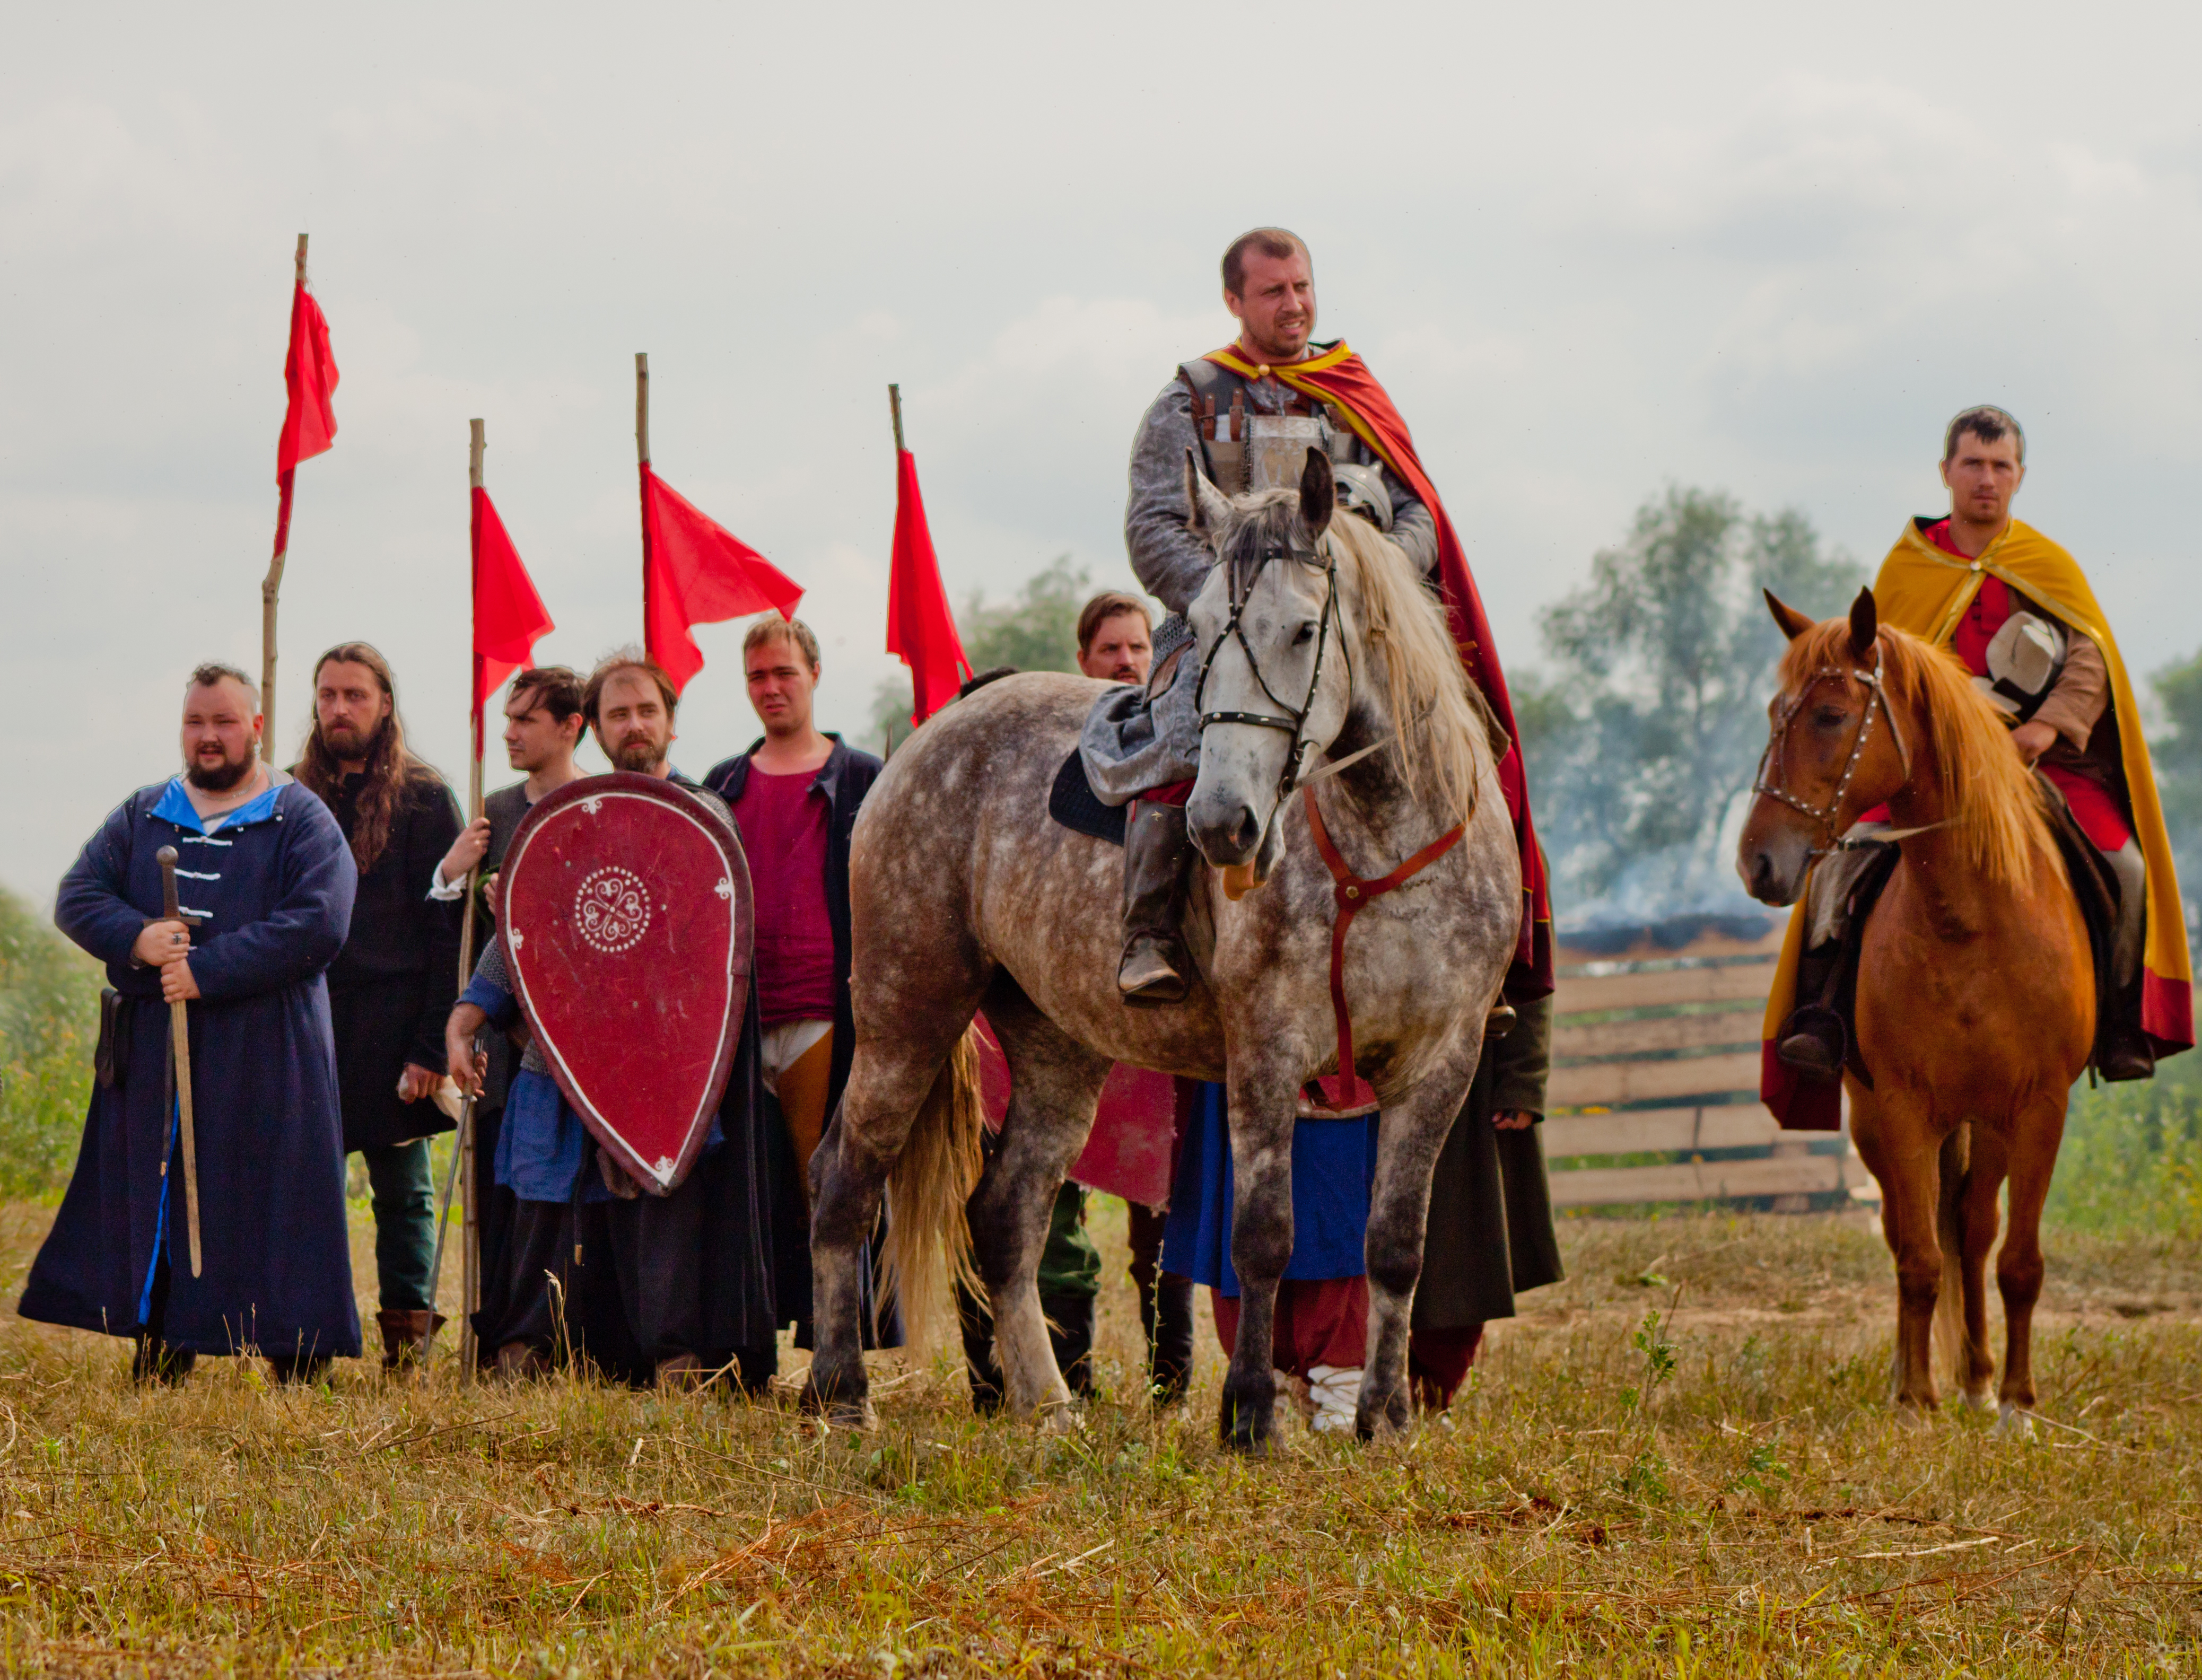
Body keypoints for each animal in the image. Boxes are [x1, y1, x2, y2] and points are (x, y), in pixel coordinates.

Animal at [801, 453, 1524, 1453]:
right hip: (908, 1007)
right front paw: (1251, 1413)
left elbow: (1394, 1245)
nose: (1221, 825)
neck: (1383, 844)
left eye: (1305, 628)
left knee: (1006, 1214)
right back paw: (841, 1393)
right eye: (1209, 630)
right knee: (847, 1175)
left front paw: (1385, 1420)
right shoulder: (1267, 1055)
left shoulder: (1438, 1066)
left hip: (1057, 1046)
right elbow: (1264, 1235)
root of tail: (929, 740)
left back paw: (1049, 1403)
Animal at [1735, 585, 2078, 1427]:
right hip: (1880, 1119)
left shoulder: (2038, 1106)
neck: (1972, 920)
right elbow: (1919, 1257)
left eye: (1830, 716)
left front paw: (2017, 1403)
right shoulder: (1900, 1105)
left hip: (1990, 1121)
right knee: (1911, 1235)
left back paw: (1982, 1380)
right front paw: (1917, 1399)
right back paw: (1918, 1375)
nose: (1759, 862)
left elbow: (2018, 1261)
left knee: (1977, 1230)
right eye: (1774, 712)